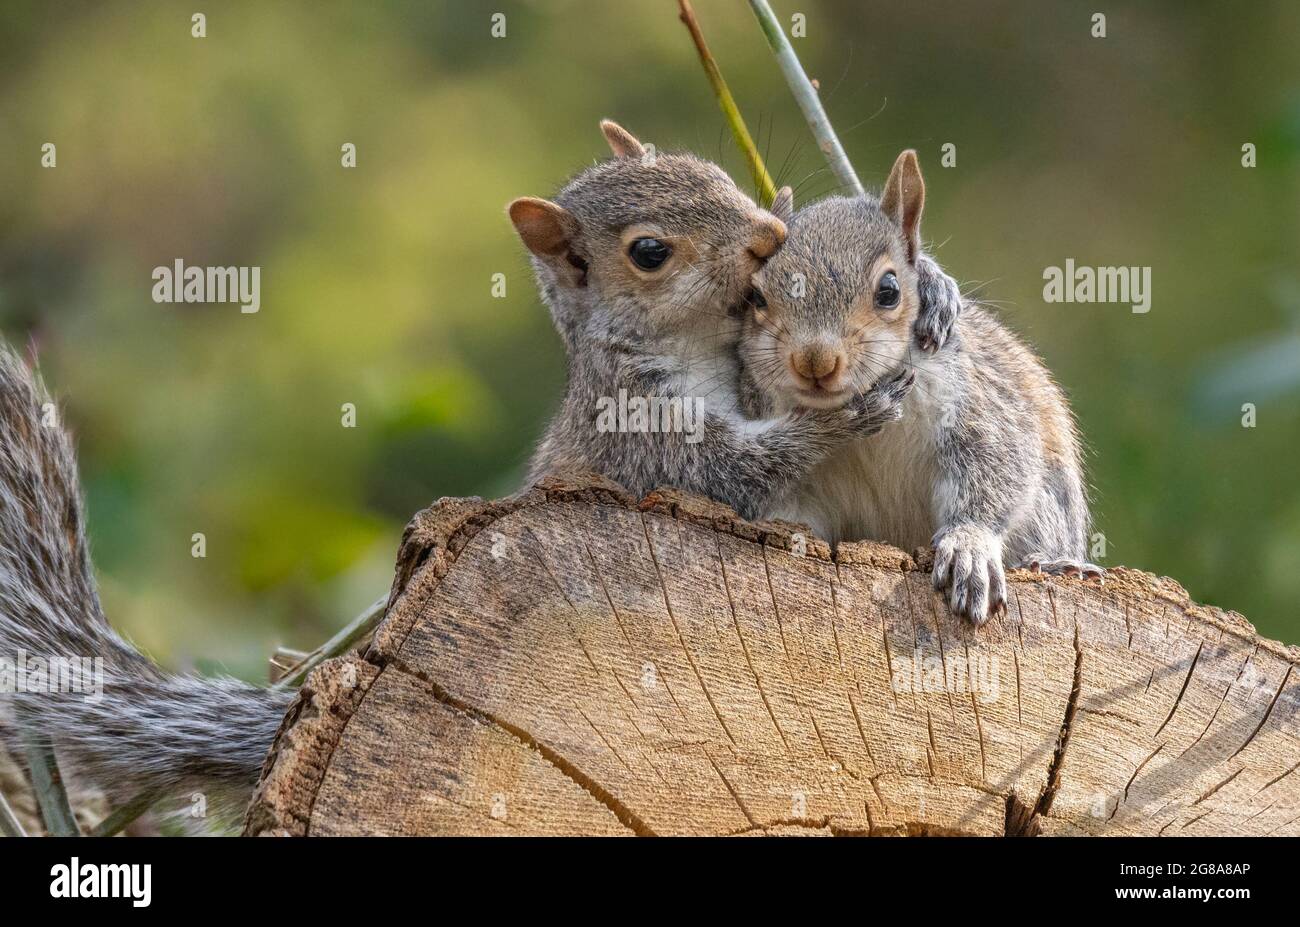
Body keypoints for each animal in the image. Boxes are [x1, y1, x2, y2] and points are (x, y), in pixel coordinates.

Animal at [513, 120, 964, 520]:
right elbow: (729, 469)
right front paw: (844, 417)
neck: (700, 340)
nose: (770, 233)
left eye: (715, 174)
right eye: (649, 252)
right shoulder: (635, 416)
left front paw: (935, 285)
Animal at [737, 149, 1102, 625]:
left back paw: (1058, 563)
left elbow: (997, 469)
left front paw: (970, 547)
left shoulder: (976, 408)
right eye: (756, 297)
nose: (814, 361)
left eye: (889, 290)